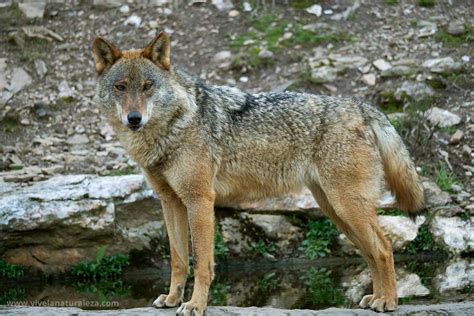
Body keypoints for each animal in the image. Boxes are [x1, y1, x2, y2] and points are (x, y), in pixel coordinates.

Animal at [90, 32, 424, 316]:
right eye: (121, 87)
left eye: (147, 86)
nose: (134, 119)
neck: (172, 128)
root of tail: (361, 106)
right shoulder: (170, 202)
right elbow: (178, 260)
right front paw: (172, 299)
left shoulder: (200, 201)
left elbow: (201, 263)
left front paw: (195, 305)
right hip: (336, 211)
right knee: (371, 252)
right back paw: (376, 298)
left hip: (347, 207)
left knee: (384, 248)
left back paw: (388, 301)